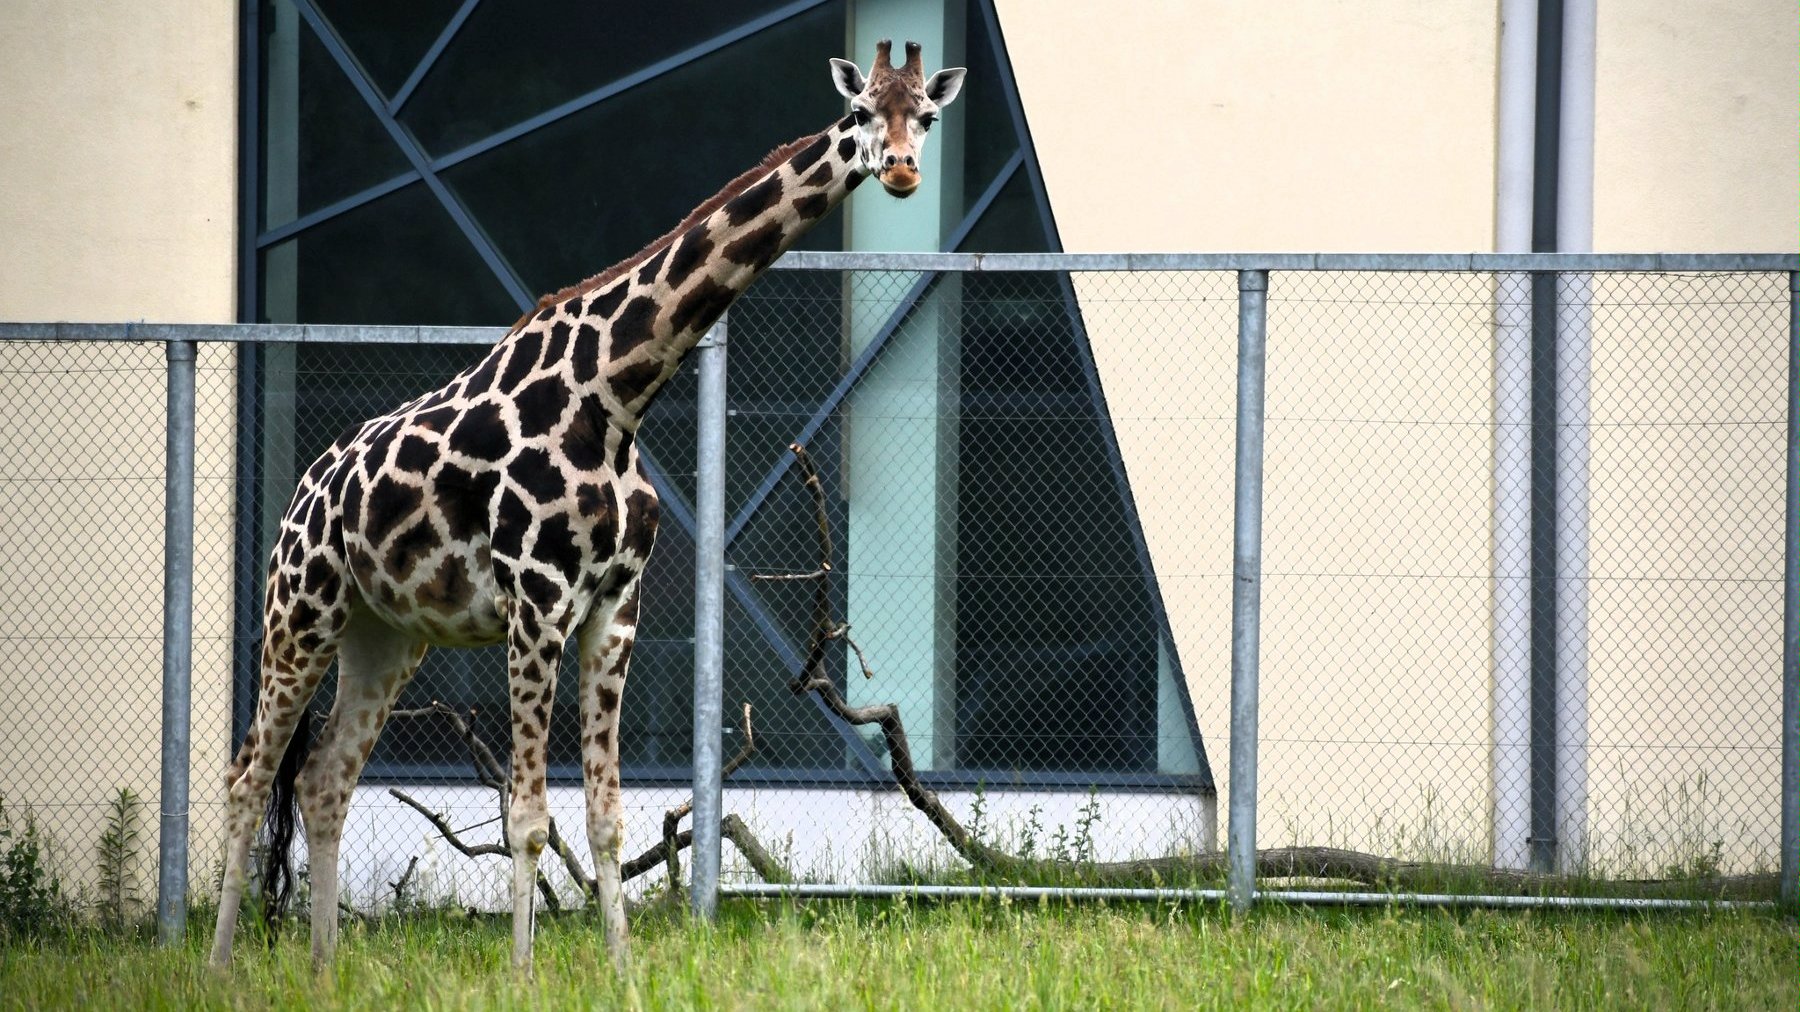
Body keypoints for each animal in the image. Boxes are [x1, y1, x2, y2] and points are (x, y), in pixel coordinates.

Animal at [207, 39, 972, 972]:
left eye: (926, 117)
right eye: (862, 111)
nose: (900, 169)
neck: (616, 394)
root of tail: (301, 491)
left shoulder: (614, 606)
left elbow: (606, 819)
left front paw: (623, 972)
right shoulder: (536, 600)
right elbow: (529, 820)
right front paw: (522, 977)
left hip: (385, 635)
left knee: (323, 780)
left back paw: (322, 971)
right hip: (301, 611)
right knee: (248, 779)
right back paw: (215, 968)